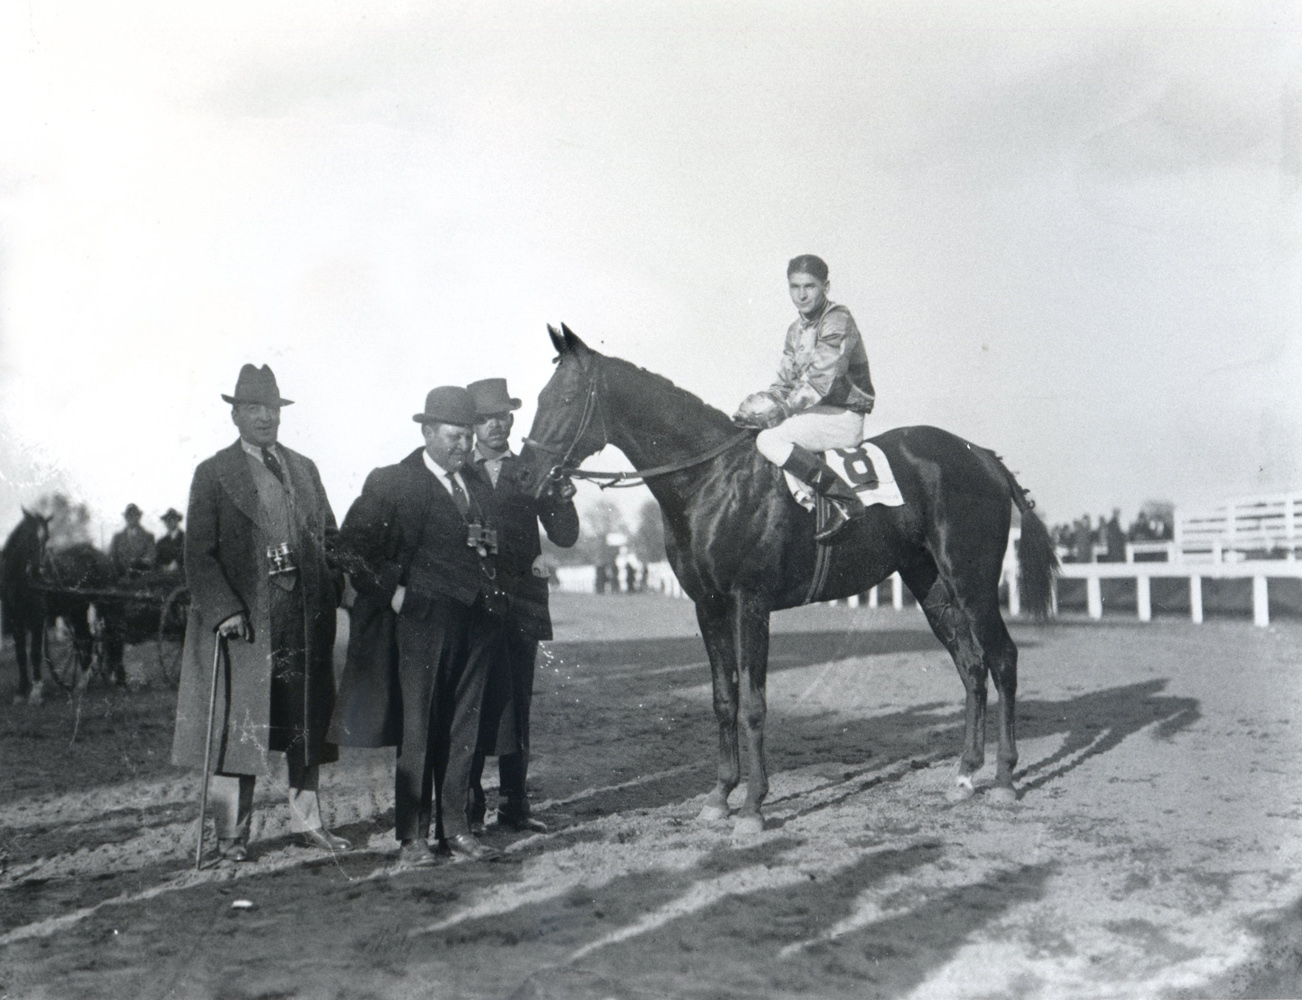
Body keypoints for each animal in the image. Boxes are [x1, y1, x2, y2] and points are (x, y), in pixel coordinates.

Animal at [518, 324, 1057, 833]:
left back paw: (1004, 778)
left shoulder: (750, 602)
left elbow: (754, 704)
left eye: (564, 398)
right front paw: (720, 797)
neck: (713, 480)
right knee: (972, 666)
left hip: (972, 581)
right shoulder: (708, 605)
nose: (525, 476)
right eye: (539, 397)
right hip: (932, 586)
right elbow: (724, 699)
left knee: (1003, 659)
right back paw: (965, 775)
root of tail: (982, 455)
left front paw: (753, 806)